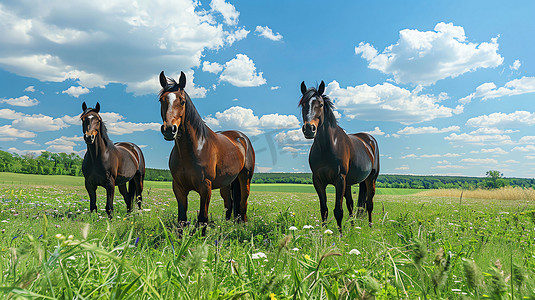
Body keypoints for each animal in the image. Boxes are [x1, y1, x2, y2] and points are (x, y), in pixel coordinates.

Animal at [158, 71, 256, 234]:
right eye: (161, 100)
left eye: (182, 101)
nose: (169, 129)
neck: (194, 149)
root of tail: (242, 138)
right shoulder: (178, 188)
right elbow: (181, 219)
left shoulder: (205, 187)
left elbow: (203, 219)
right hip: (226, 183)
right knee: (229, 204)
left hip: (245, 178)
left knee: (243, 203)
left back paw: (244, 227)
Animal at [300, 82, 378, 234]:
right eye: (303, 104)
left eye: (321, 104)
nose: (309, 129)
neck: (328, 146)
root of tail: (369, 140)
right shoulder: (318, 181)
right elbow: (324, 210)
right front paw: (323, 234)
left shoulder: (340, 179)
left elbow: (338, 211)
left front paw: (340, 236)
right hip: (350, 183)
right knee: (351, 204)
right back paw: (353, 227)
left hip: (370, 179)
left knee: (369, 204)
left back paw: (371, 227)